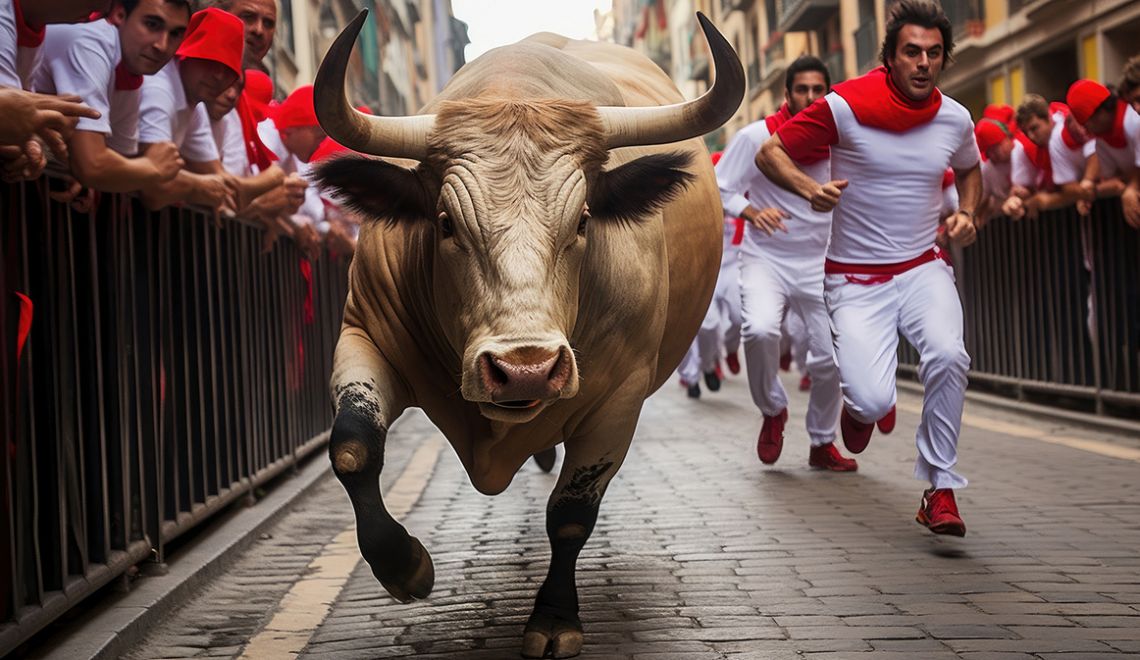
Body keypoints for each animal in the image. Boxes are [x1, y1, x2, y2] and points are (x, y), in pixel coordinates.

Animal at [312, 11, 743, 660]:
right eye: (445, 223)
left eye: (584, 220)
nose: (526, 370)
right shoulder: (364, 335)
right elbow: (353, 447)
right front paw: (404, 566)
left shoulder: (618, 399)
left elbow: (570, 512)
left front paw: (555, 618)